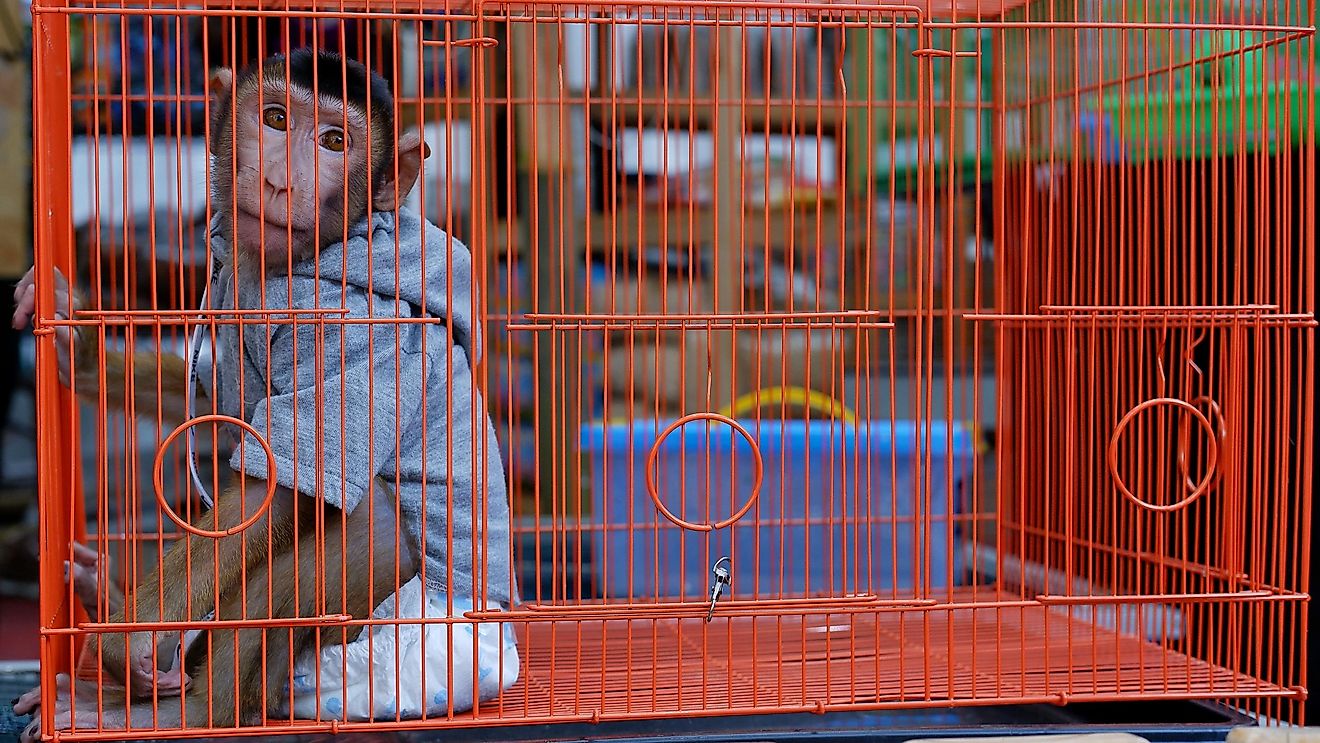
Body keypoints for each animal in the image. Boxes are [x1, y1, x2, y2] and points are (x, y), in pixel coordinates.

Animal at [10, 47, 517, 739]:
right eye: (276, 119)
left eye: (334, 142)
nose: (281, 181)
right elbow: (220, 405)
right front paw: (75, 345)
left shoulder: (343, 323)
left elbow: (279, 485)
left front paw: (132, 637)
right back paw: (103, 603)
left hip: (396, 661)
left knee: (368, 521)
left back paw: (184, 708)